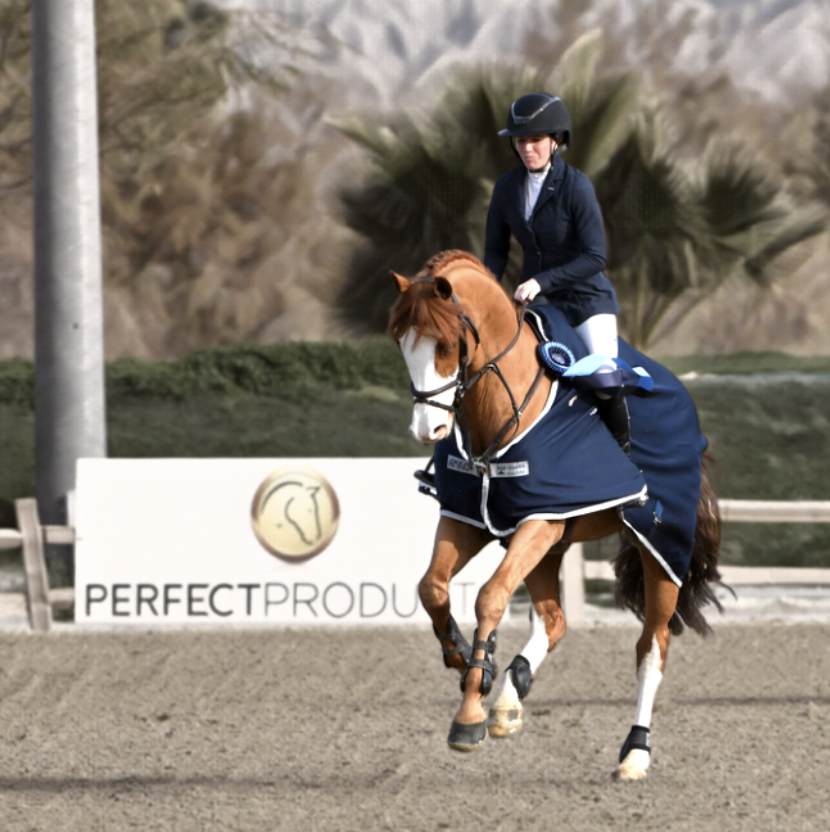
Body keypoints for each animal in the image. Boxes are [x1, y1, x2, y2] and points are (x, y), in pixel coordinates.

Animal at [388, 250, 723, 780]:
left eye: (445, 345)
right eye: (401, 341)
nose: (430, 429)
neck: (494, 412)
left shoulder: (540, 521)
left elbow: (490, 597)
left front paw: (469, 715)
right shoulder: (471, 519)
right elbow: (432, 588)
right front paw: (464, 659)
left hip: (659, 547)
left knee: (652, 649)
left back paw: (635, 753)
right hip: (553, 547)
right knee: (554, 620)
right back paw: (511, 693)